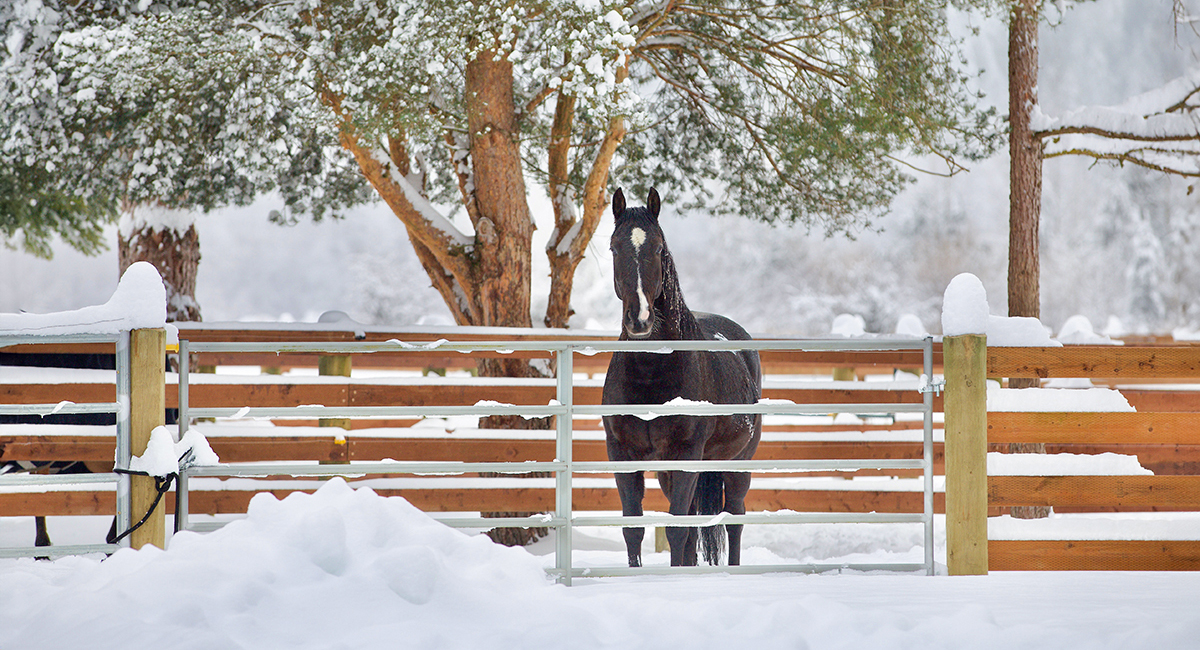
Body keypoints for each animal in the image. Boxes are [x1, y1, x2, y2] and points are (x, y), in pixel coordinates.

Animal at [600, 185, 758, 568]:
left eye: (658, 247)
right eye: (614, 248)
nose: (640, 319)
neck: (651, 373)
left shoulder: (686, 455)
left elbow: (676, 530)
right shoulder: (622, 454)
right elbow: (634, 530)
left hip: (738, 464)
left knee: (734, 520)